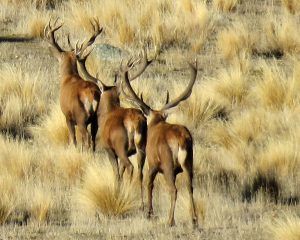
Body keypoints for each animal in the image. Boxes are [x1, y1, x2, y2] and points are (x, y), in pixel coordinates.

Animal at [42, 18, 102, 150]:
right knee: (93, 138)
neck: (68, 78)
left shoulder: (68, 116)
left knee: (86, 137)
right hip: (96, 117)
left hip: (81, 118)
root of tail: (91, 94)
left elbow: (73, 138)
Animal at [75, 43, 155, 208]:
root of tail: (134, 121)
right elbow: (121, 172)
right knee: (140, 171)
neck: (108, 113)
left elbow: (117, 173)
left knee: (130, 167)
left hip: (120, 145)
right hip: (142, 146)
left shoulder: (109, 149)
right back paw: (142, 202)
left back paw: (131, 194)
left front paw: (118, 190)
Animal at [120, 59, 198, 227]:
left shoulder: (153, 163)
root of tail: (181, 140)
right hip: (189, 161)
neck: (156, 122)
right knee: (190, 187)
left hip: (167, 163)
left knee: (173, 189)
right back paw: (194, 220)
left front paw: (149, 212)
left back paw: (170, 220)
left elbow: (149, 183)